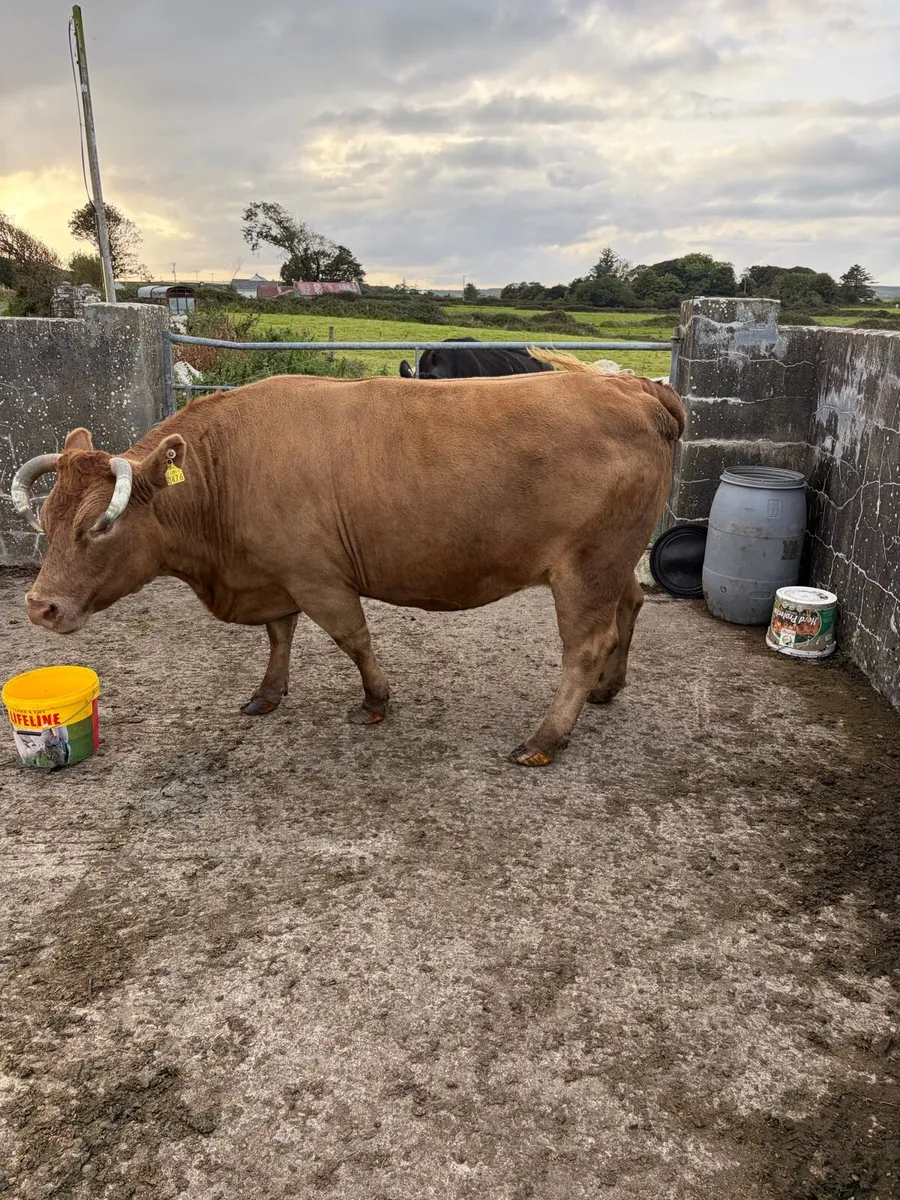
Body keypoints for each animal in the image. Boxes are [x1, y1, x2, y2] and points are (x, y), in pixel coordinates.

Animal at [13, 360, 684, 766]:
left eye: (99, 526)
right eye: (46, 519)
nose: (40, 606)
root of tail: (633, 386)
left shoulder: (316, 577)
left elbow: (352, 637)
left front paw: (376, 700)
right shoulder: (273, 574)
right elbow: (279, 635)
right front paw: (268, 694)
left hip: (585, 567)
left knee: (585, 645)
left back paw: (546, 738)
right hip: (613, 562)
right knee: (630, 604)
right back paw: (607, 690)